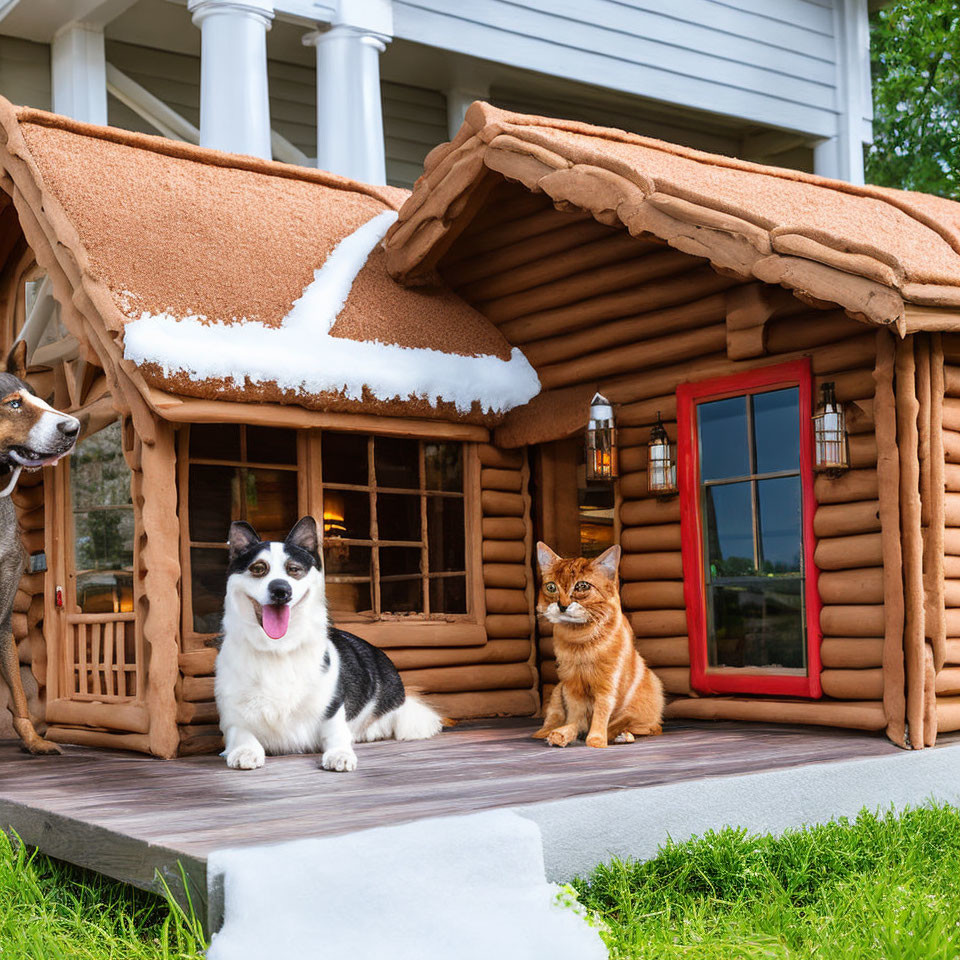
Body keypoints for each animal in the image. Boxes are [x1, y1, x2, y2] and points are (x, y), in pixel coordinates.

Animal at [217, 516, 442, 772]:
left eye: (294, 570)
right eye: (258, 568)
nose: (280, 590)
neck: (278, 649)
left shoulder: (333, 708)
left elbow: (337, 734)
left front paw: (340, 754)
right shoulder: (233, 717)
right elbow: (241, 733)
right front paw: (245, 750)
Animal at [532, 544, 660, 748]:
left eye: (582, 586)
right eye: (551, 587)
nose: (562, 605)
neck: (580, 641)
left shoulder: (608, 683)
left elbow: (602, 713)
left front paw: (596, 740)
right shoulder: (571, 685)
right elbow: (574, 718)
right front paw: (564, 734)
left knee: (649, 727)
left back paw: (624, 735)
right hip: (557, 693)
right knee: (553, 719)